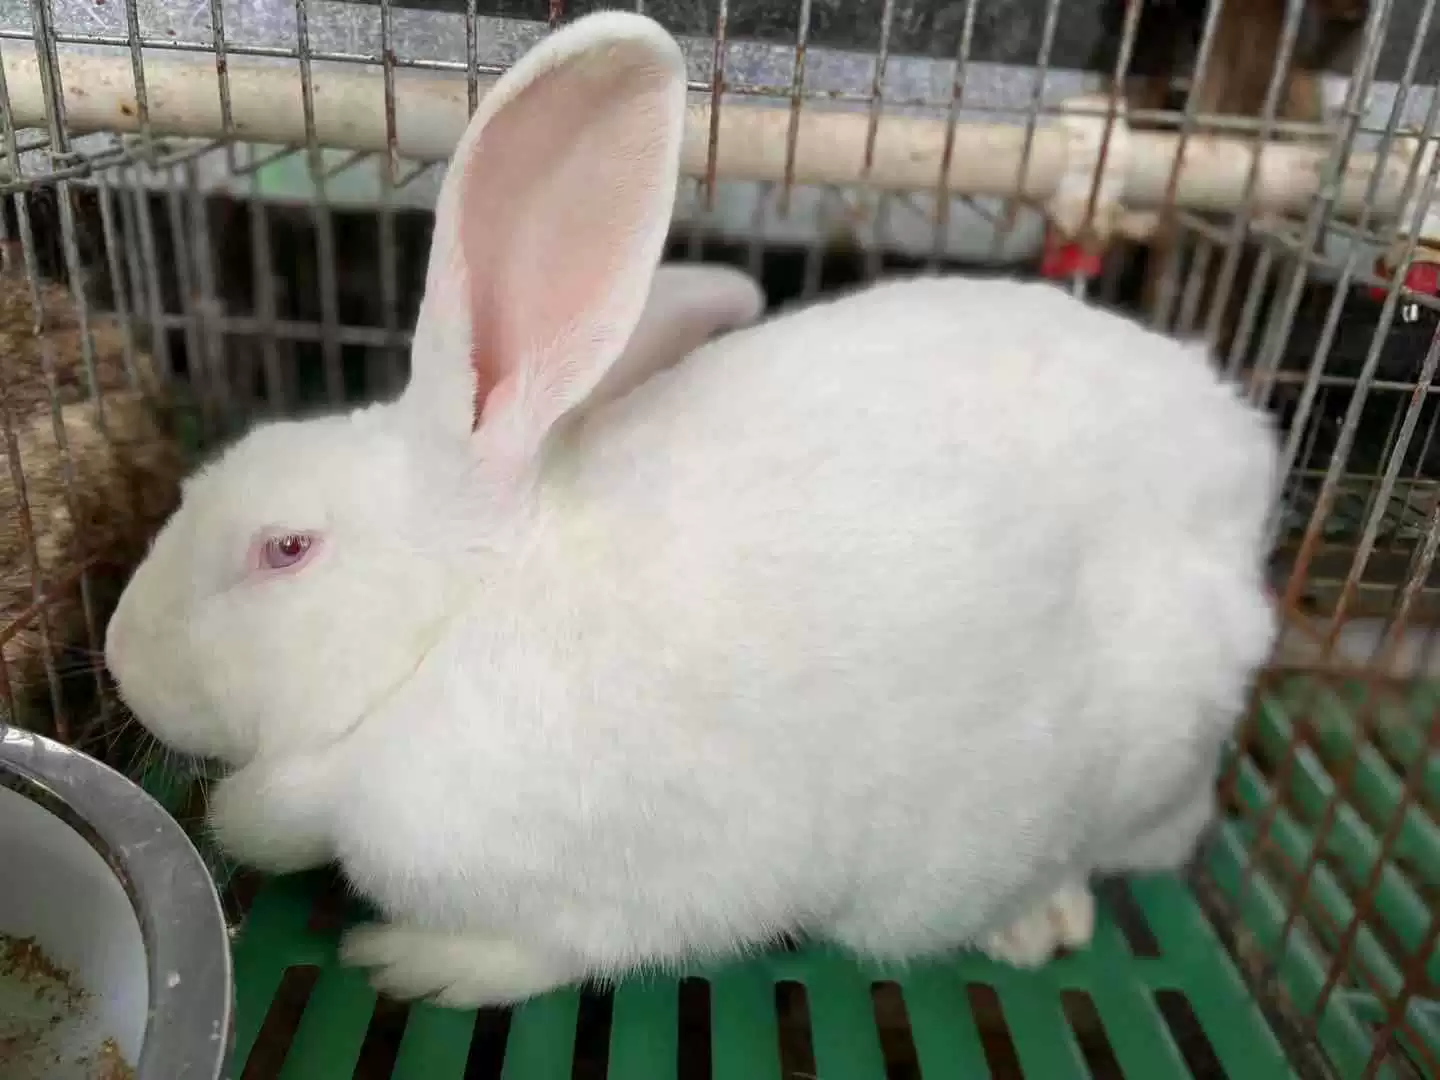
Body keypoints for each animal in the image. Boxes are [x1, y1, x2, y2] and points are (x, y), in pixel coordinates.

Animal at [105, 11, 1280, 1008]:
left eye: (285, 549)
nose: (118, 659)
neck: (452, 634)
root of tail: (1244, 456)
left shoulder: (629, 889)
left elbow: (558, 948)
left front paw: (412, 963)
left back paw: (1037, 921)